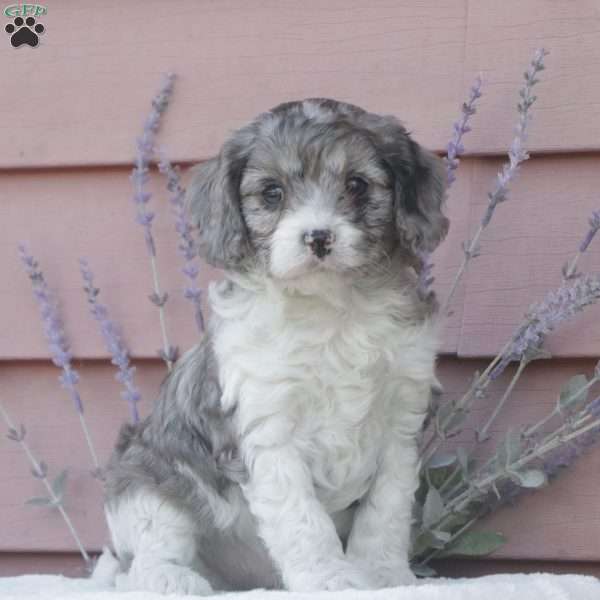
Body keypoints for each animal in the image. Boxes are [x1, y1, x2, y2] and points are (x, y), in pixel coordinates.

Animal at [101, 98, 448, 596]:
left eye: (357, 184)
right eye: (271, 193)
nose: (318, 237)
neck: (331, 309)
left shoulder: (400, 426)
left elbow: (385, 513)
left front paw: (383, 576)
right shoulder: (267, 427)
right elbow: (303, 518)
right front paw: (329, 578)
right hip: (148, 482)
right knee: (141, 561)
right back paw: (173, 578)